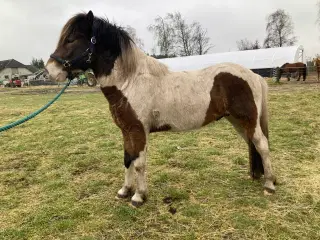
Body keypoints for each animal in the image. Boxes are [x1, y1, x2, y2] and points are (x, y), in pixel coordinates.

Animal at [45, 10, 278, 206]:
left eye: (72, 39)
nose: (50, 70)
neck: (130, 81)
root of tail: (254, 75)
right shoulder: (127, 131)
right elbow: (127, 160)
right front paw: (124, 191)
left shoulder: (139, 131)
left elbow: (139, 163)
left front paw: (138, 197)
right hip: (237, 121)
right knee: (253, 144)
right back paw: (256, 176)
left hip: (248, 120)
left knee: (262, 145)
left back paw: (269, 184)